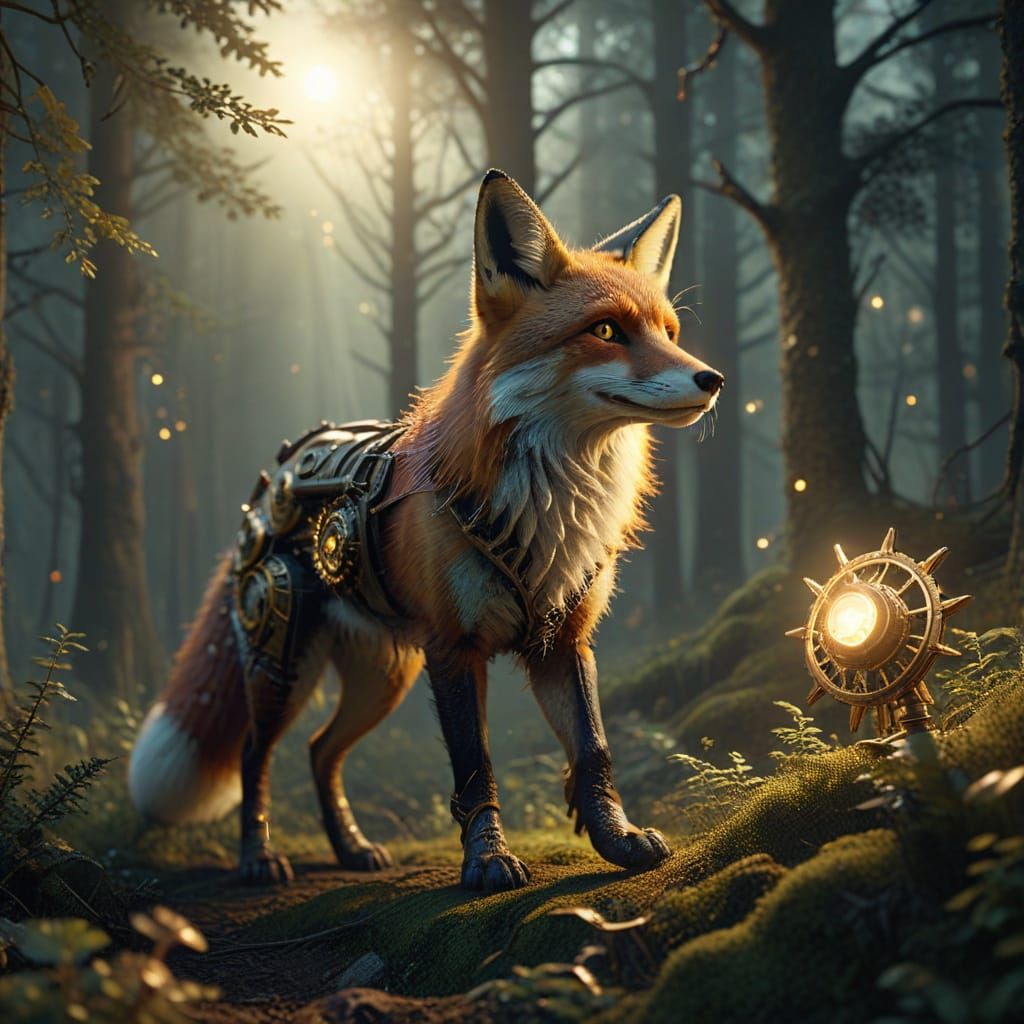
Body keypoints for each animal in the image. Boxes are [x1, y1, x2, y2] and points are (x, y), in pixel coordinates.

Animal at [129, 169, 724, 892]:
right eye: (605, 329)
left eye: (669, 331)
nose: (712, 379)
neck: (550, 508)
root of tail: (282, 468)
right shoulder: (454, 648)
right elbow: (476, 768)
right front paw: (488, 860)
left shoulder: (563, 640)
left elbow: (593, 752)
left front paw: (616, 840)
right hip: (282, 663)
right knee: (253, 753)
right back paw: (258, 857)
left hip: (384, 678)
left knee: (320, 751)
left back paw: (352, 848)